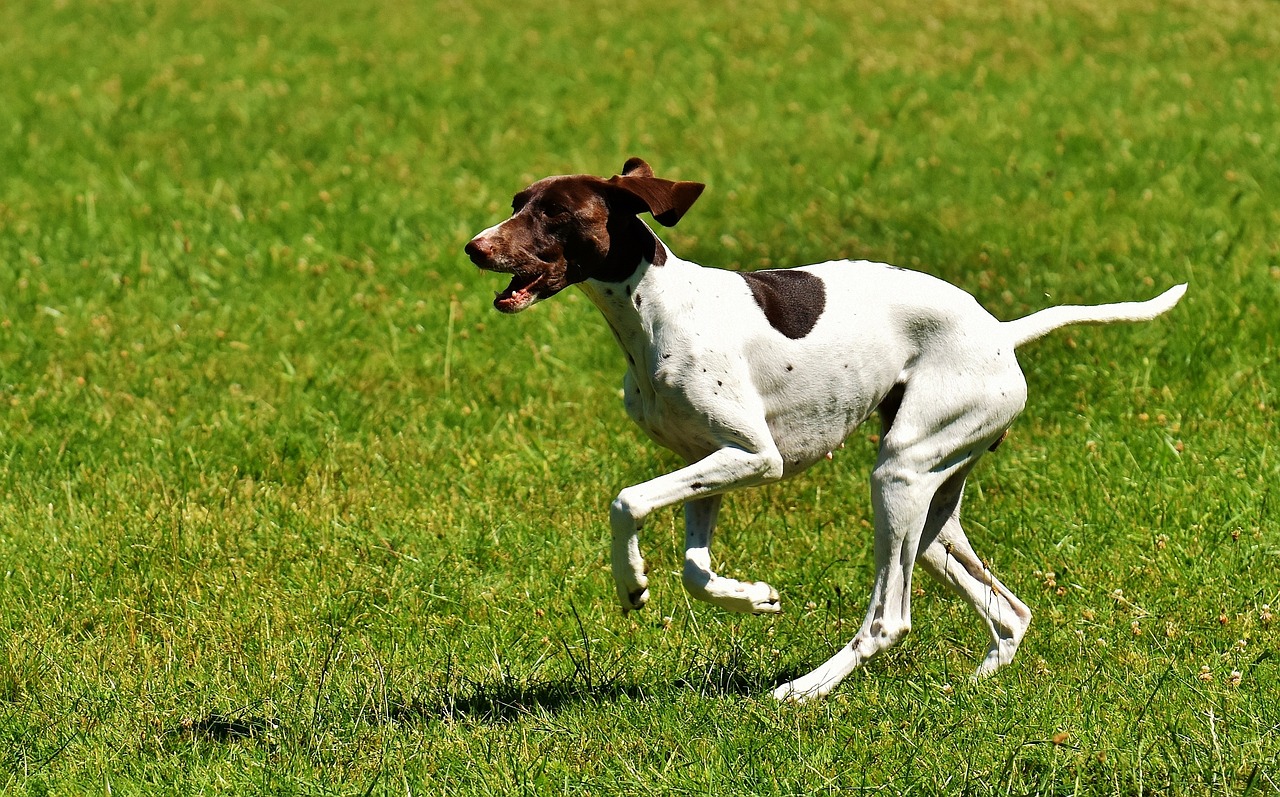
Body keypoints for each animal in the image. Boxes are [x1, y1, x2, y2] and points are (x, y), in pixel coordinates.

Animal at [465, 159, 1182, 701]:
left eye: (555, 213)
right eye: (518, 202)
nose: (475, 247)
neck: (656, 310)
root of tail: (1000, 333)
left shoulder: (757, 457)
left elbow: (628, 500)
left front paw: (632, 582)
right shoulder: (712, 464)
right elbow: (697, 571)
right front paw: (754, 597)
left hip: (898, 475)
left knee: (889, 619)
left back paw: (804, 690)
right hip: (933, 508)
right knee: (1009, 610)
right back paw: (970, 687)